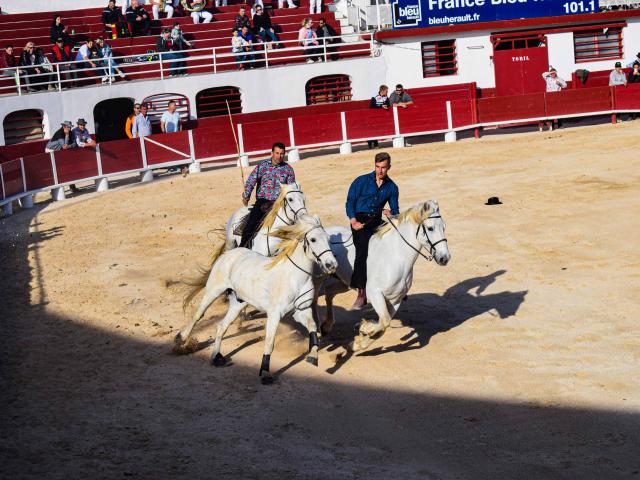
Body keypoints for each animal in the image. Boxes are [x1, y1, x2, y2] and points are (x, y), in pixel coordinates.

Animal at [172, 216, 338, 384]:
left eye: (329, 239)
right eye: (313, 239)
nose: (331, 265)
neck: (295, 276)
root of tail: (230, 253)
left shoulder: (302, 310)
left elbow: (312, 328)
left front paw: (313, 356)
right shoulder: (274, 314)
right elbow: (269, 343)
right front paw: (265, 373)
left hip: (238, 304)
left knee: (221, 327)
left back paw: (217, 357)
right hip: (214, 290)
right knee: (198, 314)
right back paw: (181, 339)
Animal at [312, 201, 452, 350]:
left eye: (444, 226)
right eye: (430, 228)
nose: (445, 258)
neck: (397, 257)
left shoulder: (395, 299)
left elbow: (384, 325)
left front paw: (359, 340)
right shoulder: (375, 294)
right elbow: (384, 322)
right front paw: (364, 330)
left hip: (344, 282)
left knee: (329, 292)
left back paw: (326, 326)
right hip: (319, 280)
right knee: (315, 300)